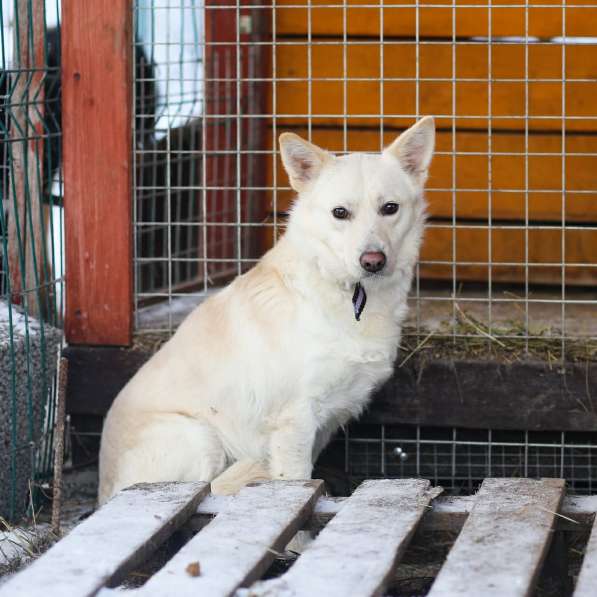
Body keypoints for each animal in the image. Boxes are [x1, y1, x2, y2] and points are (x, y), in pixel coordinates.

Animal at [98, 115, 434, 502]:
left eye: (390, 208)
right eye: (340, 213)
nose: (373, 261)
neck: (346, 292)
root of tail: (103, 493)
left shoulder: (321, 424)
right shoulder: (295, 419)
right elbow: (296, 486)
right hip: (200, 439)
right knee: (205, 488)